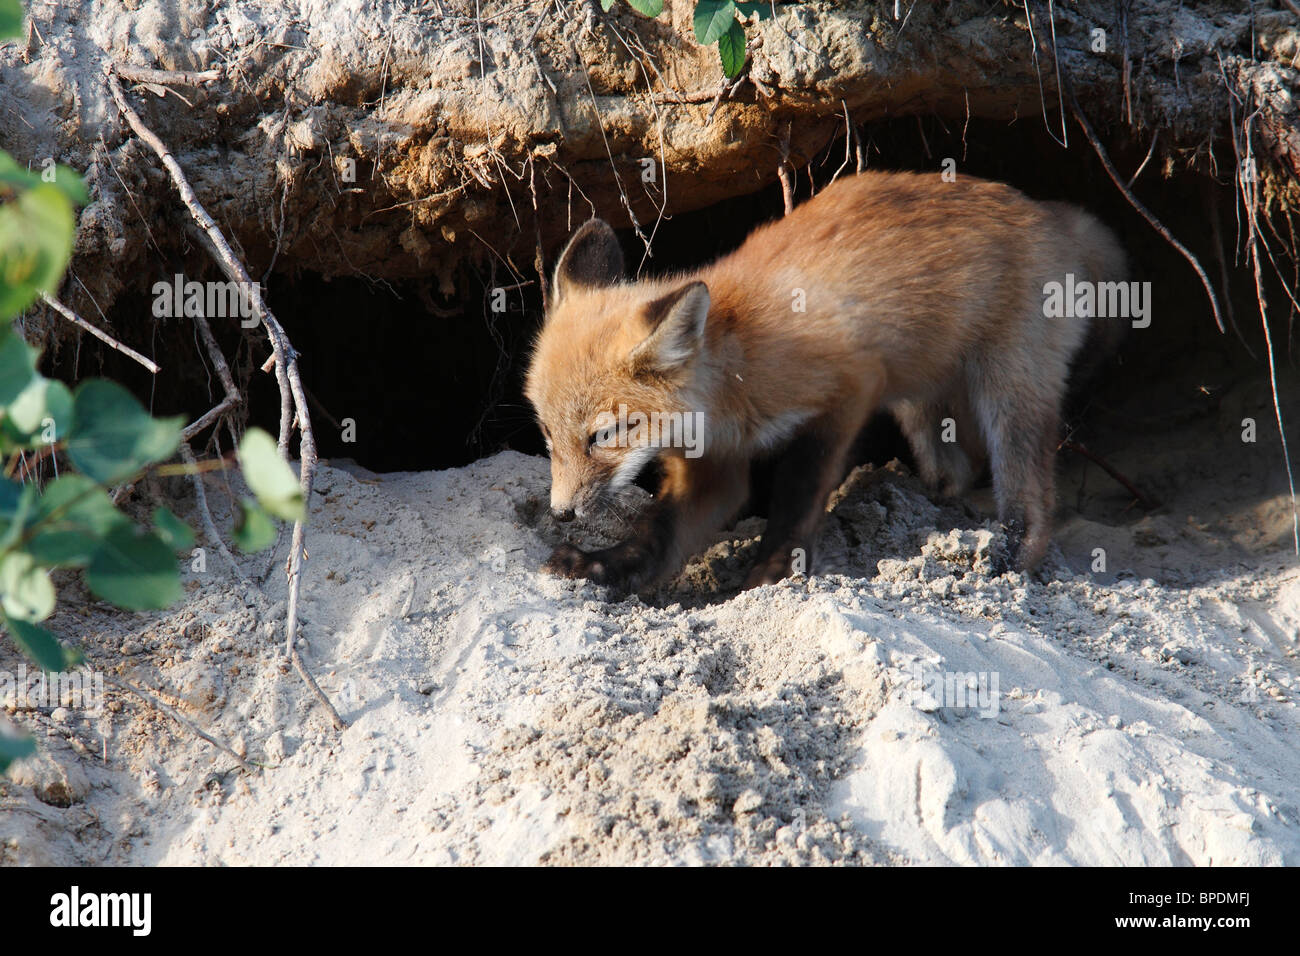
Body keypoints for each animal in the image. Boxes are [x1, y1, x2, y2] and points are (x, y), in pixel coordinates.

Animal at [525, 170, 1127, 592]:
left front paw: (773, 570)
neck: (731, 379)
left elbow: (797, 492)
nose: (561, 512)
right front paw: (601, 566)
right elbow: (658, 534)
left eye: (604, 435)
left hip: (1008, 387)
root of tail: (1045, 210)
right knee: (954, 468)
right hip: (920, 402)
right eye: (549, 436)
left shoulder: (847, 389)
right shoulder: (714, 468)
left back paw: (1010, 558)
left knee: (1032, 495)